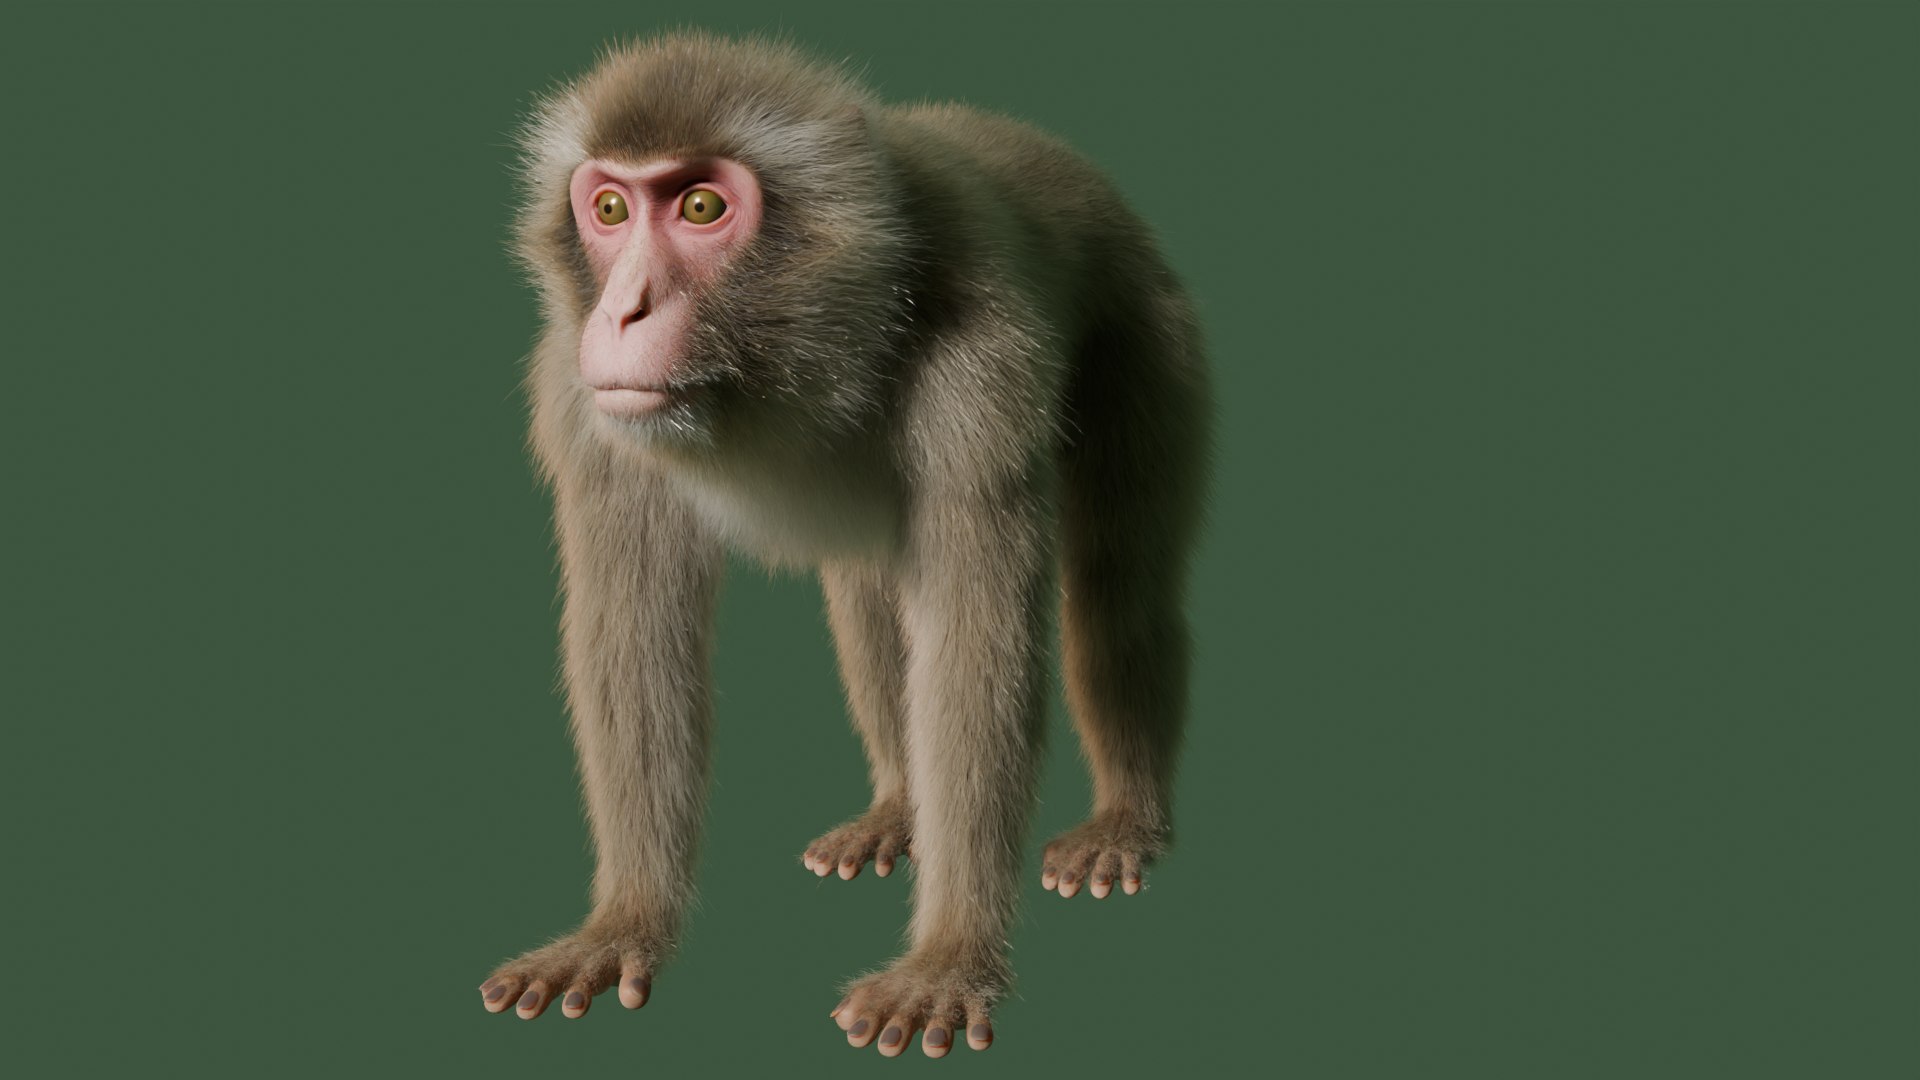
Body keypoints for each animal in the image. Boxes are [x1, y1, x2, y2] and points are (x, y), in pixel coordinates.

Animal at [475, 33, 1210, 1058]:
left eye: (701, 207)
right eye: (611, 208)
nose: (620, 312)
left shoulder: (982, 366)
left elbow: (976, 651)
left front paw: (948, 958)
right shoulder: (583, 402)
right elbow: (636, 634)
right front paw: (623, 922)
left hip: (1152, 334)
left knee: (1119, 586)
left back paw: (1126, 820)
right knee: (869, 595)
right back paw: (901, 808)